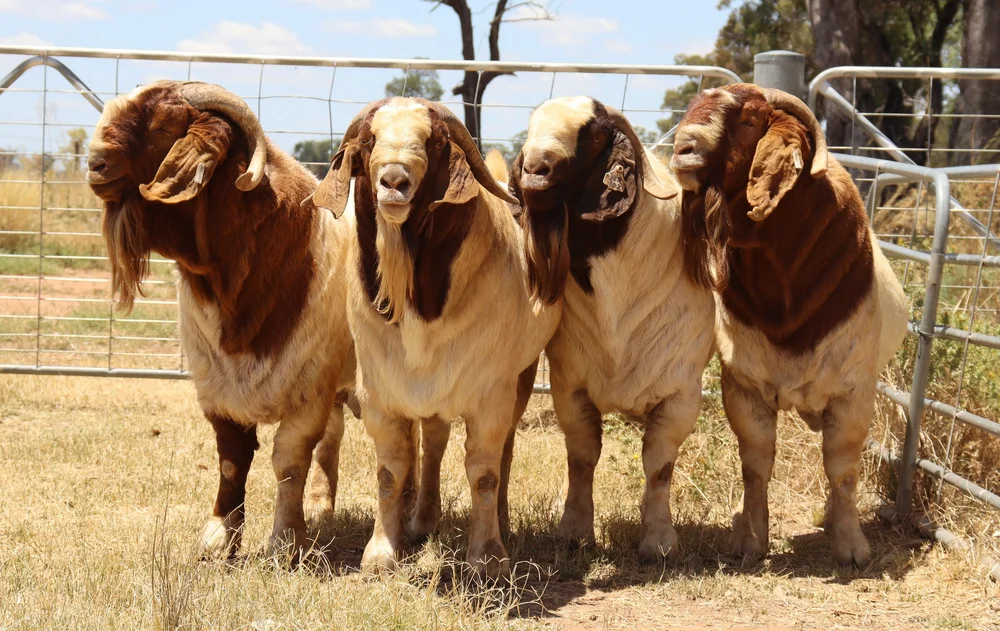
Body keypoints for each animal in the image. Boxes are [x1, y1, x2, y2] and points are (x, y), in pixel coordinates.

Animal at [87, 81, 356, 559]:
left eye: (164, 126)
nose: (94, 163)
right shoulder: (217, 387)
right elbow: (232, 460)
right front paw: (218, 538)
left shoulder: (308, 391)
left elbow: (288, 461)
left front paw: (286, 540)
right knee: (334, 439)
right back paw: (322, 506)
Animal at [310, 97, 561, 577]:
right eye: (368, 139)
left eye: (435, 142)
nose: (394, 180)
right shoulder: (382, 393)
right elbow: (391, 472)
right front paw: (382, 552)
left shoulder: (491, 394)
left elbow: (484, 472)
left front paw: (488, 556)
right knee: (434, 442)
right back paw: (423, 519)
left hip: (519, 377)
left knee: (503, 451)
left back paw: (500, 521)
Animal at [508, 96, 715, 561]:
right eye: (530, 126)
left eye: (594, 134)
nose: (534, 170)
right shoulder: (570, 387)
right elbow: (582, 458)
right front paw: (574, 532)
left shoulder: (680, 395)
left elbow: (659, 468)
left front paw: (659, 541)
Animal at [669, 83, 909, 566]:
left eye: (747, 120)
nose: (682, 150)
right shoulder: (745, 386)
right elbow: (756, 463)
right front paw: (749, 540)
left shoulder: (853, 392)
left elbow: (843, 468)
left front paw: (852, 546)